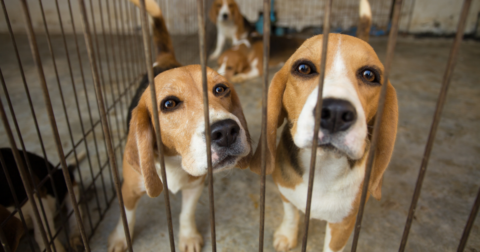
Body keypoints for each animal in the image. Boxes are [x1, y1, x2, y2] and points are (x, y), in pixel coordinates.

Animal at [108, 0, 251, 252]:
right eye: (169, 104)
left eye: (221, 89)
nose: (226, 131)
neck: (174, 159)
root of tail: (165, 60)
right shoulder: (128, 189)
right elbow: (127, 215)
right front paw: (120, 239)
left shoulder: (195, 185)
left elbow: (186, 213)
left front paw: (188, 236)